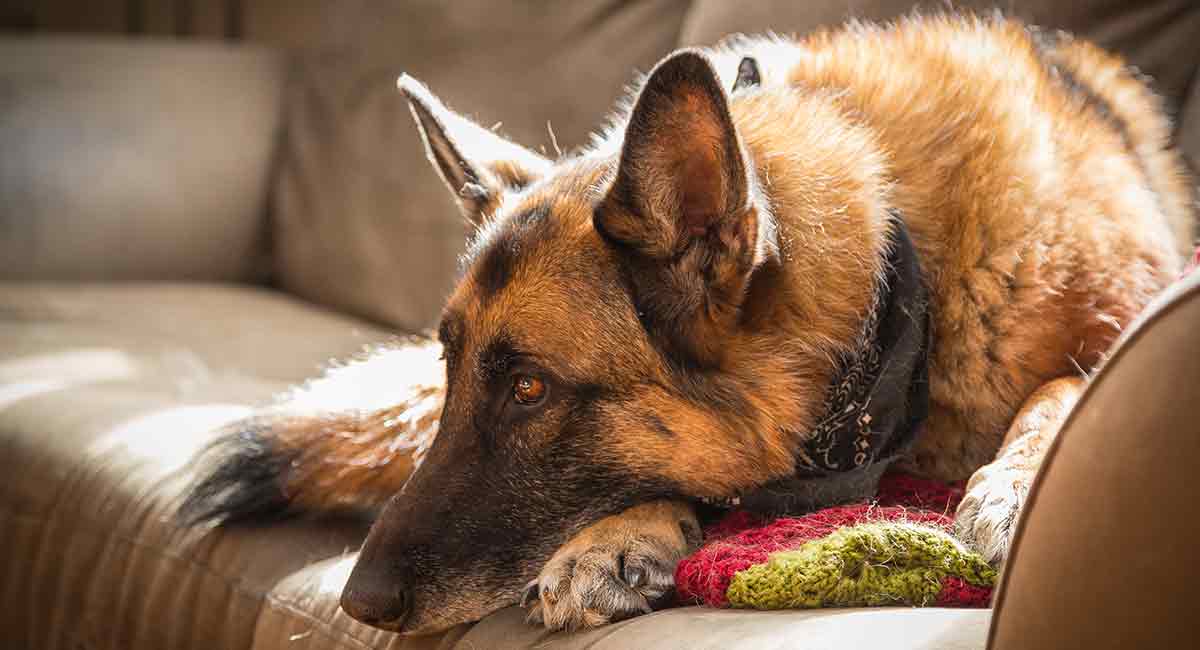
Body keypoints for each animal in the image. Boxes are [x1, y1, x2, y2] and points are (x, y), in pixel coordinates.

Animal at [180, 12, 1200, 638]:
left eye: (529, 388)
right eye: (450, 369)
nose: (357, 601)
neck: (904, 272)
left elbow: (1064, 386)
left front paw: (1016, 484)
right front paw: (619, 534)